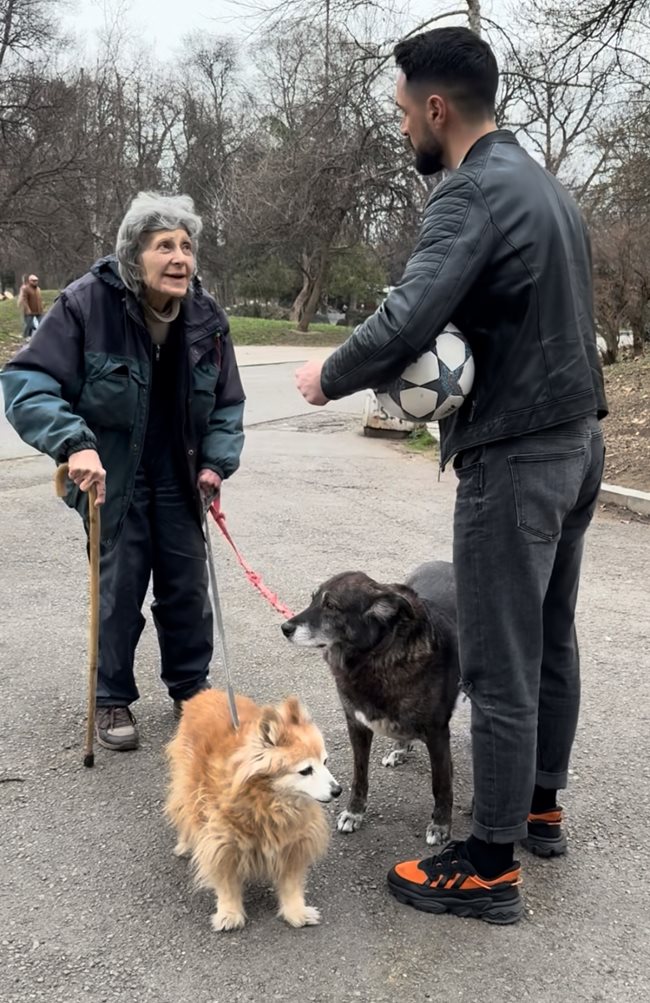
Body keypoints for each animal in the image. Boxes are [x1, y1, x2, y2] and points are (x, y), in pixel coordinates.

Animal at [163, 690, 341, 930]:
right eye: (305, 771)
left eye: (325, 762)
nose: (338, 790)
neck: (268, 800)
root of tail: (204, 693)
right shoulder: (222, 841)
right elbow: (226, 881)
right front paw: (229, 912)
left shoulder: (293, 840)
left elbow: (291, 882)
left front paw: (295, 911)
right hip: (186, 785)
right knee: (186, 813)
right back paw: (185, 843)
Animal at [280, 561, 459, 842]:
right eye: (312, 599)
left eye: (331, 606)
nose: (285, 628)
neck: (374, 657)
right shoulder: (357, 724)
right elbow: (359, 775)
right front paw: (354, 813)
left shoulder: (437, 733)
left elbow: (441, 784)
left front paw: (441, 825)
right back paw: (400, 749)